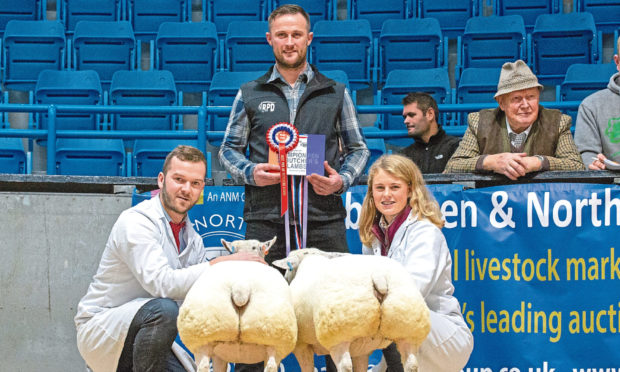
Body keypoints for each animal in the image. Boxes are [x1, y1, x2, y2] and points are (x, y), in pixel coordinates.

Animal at [178, 238, 296, 372]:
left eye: (255, 247)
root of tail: (240, 287)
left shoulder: (219, 355)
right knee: (271, 366)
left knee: (203, 366)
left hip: (204, 336)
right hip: (275, 339)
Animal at [274, 248, 428, 372]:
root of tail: (379, 277)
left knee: (345, 366)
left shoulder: (301, 346)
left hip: (339, 335)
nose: (285, 278)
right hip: (407, 331)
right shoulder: (361, 351)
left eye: (289, 269)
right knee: (412, 364)